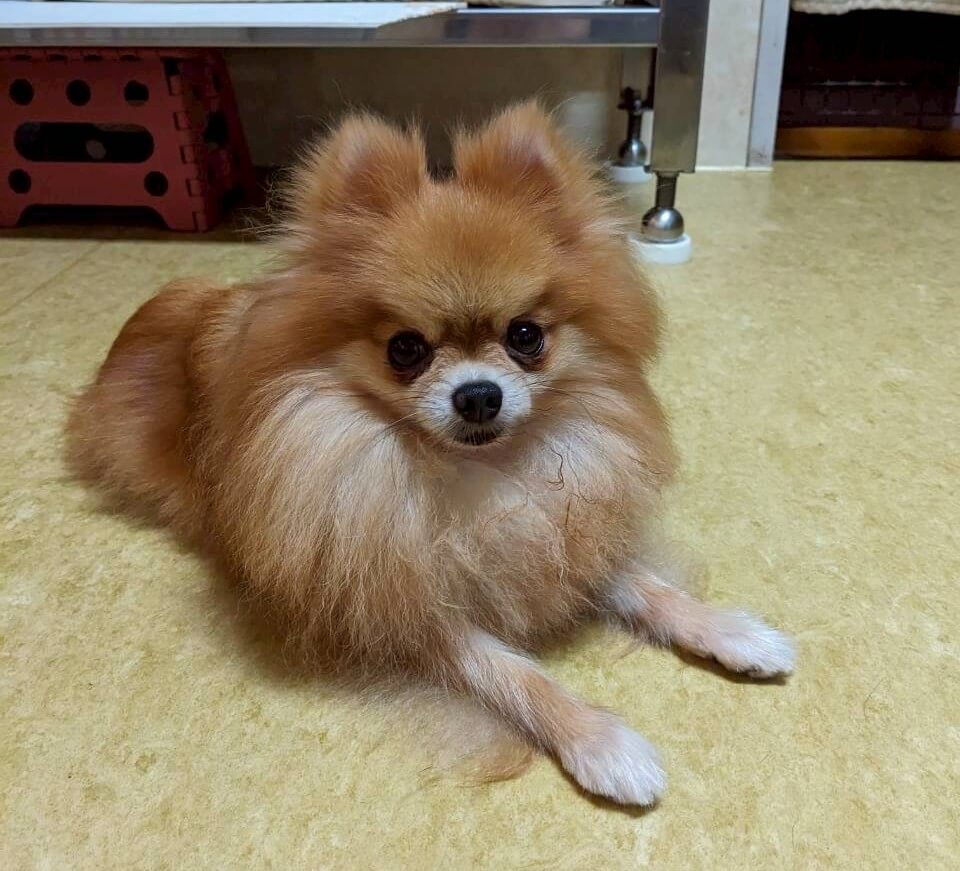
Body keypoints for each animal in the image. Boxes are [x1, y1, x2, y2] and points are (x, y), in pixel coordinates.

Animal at [68, 102, 794, 806]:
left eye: (525, 336)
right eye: (406, 348)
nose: (478, 395)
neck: (477, 470)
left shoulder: (556, 535)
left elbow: (643, 583)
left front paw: (731, 632)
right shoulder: (407, 606)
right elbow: (517, 675)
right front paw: (603, 742)